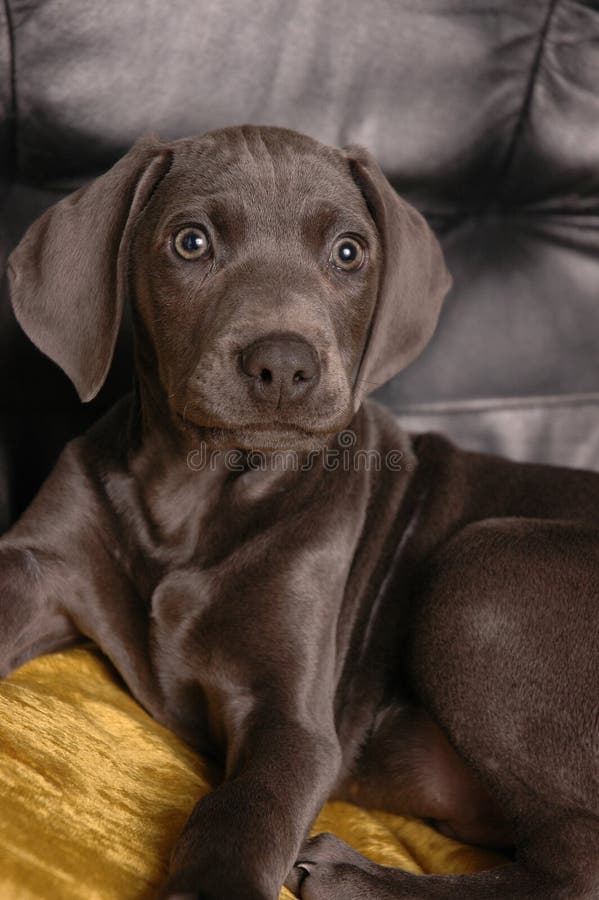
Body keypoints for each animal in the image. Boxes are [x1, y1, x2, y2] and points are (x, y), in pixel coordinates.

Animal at [3, 126, 599, 900]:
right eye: (191, 242)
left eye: (348, 251)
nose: (283, 365)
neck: (192, 499)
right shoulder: (40, 563)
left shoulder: (293, 714)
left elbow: (245, 806)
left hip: (483, 569)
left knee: (574, 862)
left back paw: (355, 877)